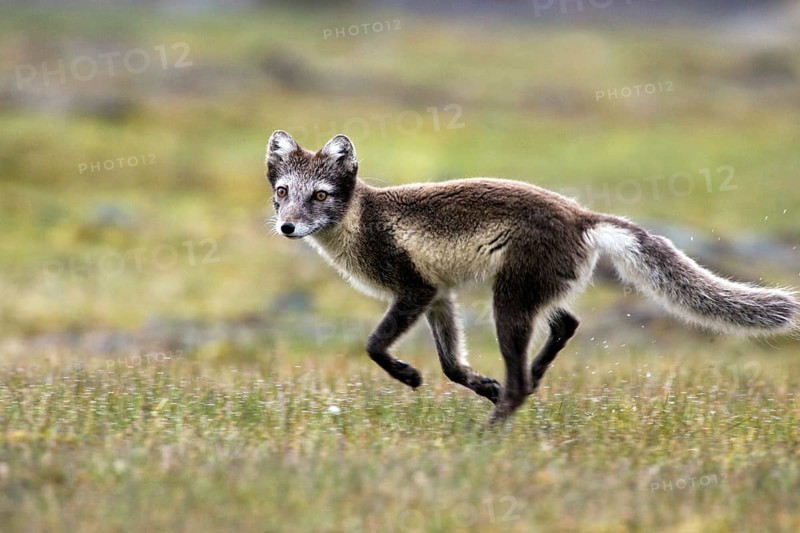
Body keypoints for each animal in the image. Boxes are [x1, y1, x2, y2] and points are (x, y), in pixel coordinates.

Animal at [264, 130, 800, 424]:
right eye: (283, 192)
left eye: (320, 195)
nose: (287, 227)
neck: (362, 222)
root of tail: (583, 216)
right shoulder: (439, 295)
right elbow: (451, 365)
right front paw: (480, 384)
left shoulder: (414, 289)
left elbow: (374, 345)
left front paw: (407, 374)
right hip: (534, 292)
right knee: (565, 326)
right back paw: (522, 386)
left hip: (509, 302)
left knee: (524, 375)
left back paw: (487, 435)